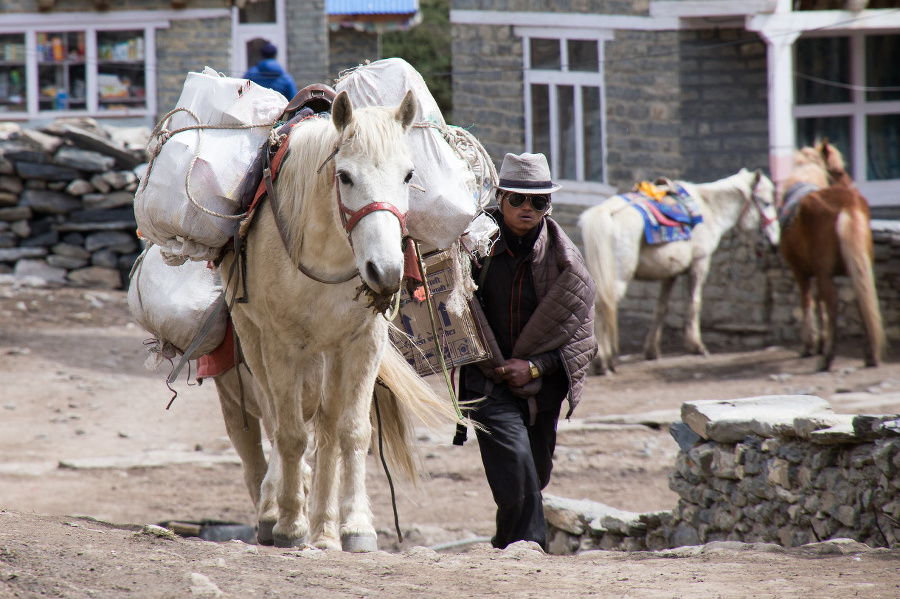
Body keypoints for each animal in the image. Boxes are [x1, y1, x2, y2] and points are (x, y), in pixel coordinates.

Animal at [219, 90, 458, 552]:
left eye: (409, 175)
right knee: (275, 419)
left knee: (328, 428)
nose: (386, 271)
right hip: (252, 338)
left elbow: (353, 431)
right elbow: (291, 433)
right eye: (345, 176)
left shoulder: (363, 341)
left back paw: (326, 529)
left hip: (329, 352)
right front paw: (290, 524)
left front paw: (356, 527)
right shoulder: (281, 346)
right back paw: (275, 513)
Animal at [576, 169, 780, 376]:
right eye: (767, 202)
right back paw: (603, 362)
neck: (708, 208)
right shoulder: (700, 263)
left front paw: (652, 351)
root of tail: (605, 213)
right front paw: (697, 347)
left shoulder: (669, 273)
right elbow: (694, 303)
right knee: (603, 307)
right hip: (618, 279)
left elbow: (661, 308)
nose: (774, 242)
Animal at [780, 142, 884, 372]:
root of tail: (848, 203)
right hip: (859, 267)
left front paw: (810, 345)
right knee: (863, 300)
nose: (852, 185)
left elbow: (808, 302)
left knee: (834, 302)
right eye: (839, 172)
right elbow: (819, 302)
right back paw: (870, 355)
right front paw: (819, 343)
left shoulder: (800, 272)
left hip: (823, 272)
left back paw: (827, 358)